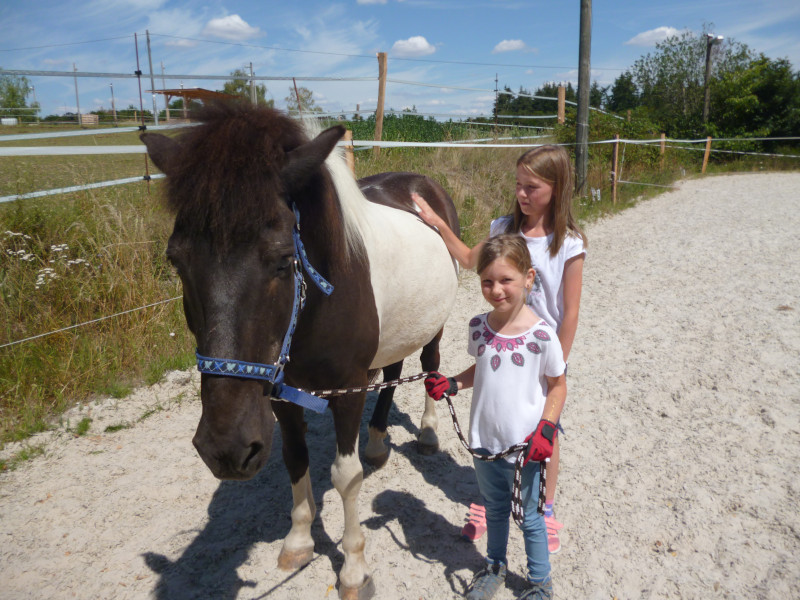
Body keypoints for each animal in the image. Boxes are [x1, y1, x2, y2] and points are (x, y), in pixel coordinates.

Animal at [141, 101, 460, 596]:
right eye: (176, 260)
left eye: (283, 259)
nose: (226, 449)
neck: (314, 307)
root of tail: (421, 183)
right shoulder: (277, 395)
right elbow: (295, 459)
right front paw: (298, 542)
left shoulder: (347, 390)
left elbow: (346, 477)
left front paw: (353, 569)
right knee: (391, 375)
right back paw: (376, 441)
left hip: (434, 327)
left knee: (430, 367)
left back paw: (426, 434)